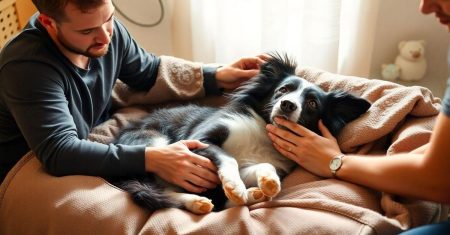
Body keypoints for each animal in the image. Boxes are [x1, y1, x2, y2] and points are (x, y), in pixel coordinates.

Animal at [110, 52, 370, 214]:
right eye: (283, 90)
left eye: (313, 104)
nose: (287, 105)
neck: (263, 131)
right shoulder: (198, 140)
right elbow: (229, 158)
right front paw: (234, 186)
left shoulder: (259, 161)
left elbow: (262, 165)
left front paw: (268, 183)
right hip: (156, 142)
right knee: (151, 188)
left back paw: (244, 196)